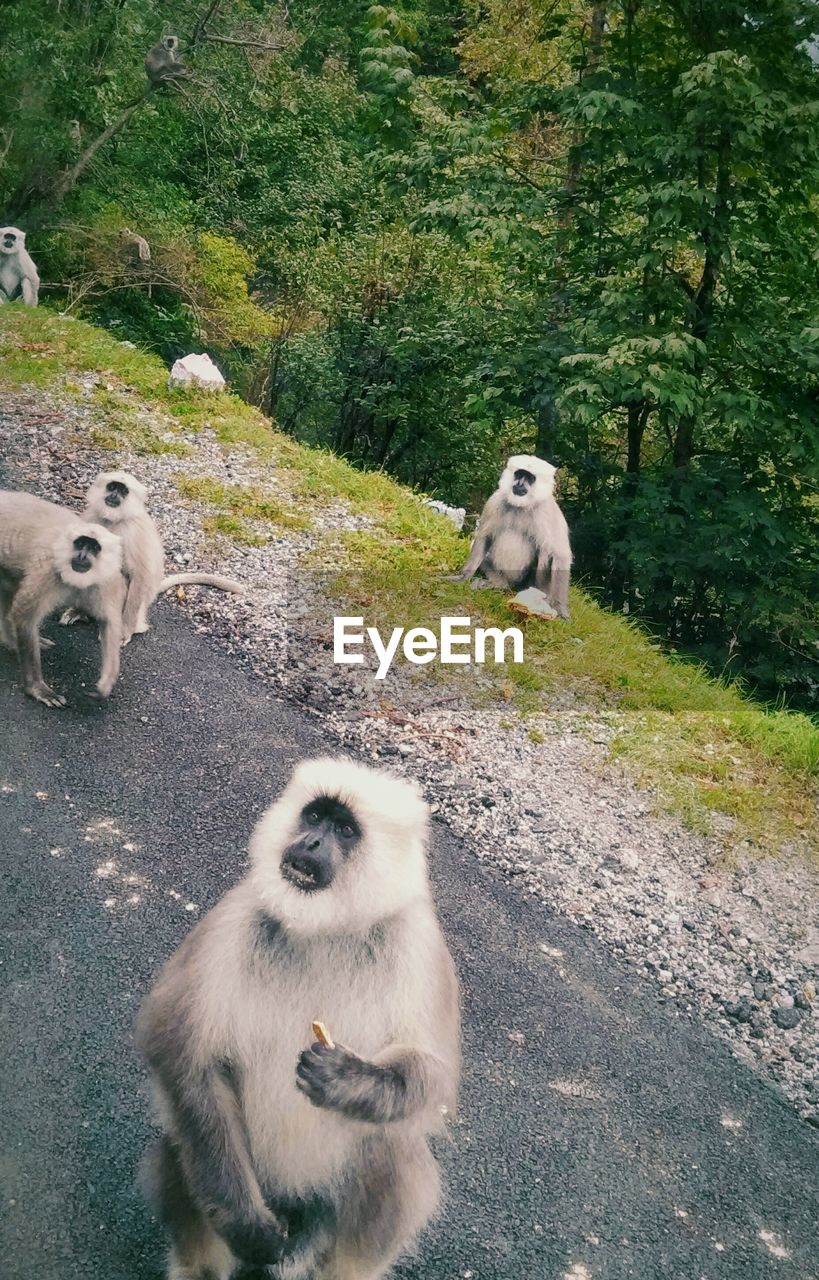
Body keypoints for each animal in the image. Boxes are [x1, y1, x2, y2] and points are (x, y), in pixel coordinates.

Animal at [0, 491, 124, 711]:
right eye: (80, 544)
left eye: (94, 547)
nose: (82, 556)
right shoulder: (48, 568)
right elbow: (25, 616)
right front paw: (36, 689)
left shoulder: (108, 579)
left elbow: (109, 623)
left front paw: (106, 683)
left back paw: (11, 639)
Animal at [72, 471, 243, 645]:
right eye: (112, 486)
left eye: (123, 491)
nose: (114, 495)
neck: (112, 520)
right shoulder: (90, 518)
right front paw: (76, 610)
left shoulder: (133, 532)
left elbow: (139, 575)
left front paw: (123, 632)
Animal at [140, 757, 460, 1280]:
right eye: (314, 817)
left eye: (345, 830)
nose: (310, 842)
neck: (326, 931)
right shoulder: (236, 917)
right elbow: (181, 1053)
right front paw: (248, 1227)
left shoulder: (418, 942)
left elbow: (433, 1074)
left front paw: (348, 1080)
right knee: (182, 1150)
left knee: (392, 1156)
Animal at [450, 455, 573, 619]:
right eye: (519, 474)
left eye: (529, 478)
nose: (519, 483)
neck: (521, 506)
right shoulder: (495, 500)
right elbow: (484, 536)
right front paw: (464, 577)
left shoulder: (548, 511)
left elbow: (561, 555)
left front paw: (560, 608)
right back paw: (498, 585)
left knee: (545, 551)